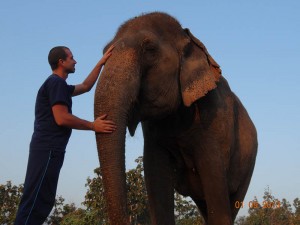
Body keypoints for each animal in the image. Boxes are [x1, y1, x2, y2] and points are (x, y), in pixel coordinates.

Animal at [94, 12, 258, 225]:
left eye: (150, 49)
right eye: (105, 52)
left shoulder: (212, 121)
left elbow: (215, 184)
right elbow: (155, 177)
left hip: (249, 163)